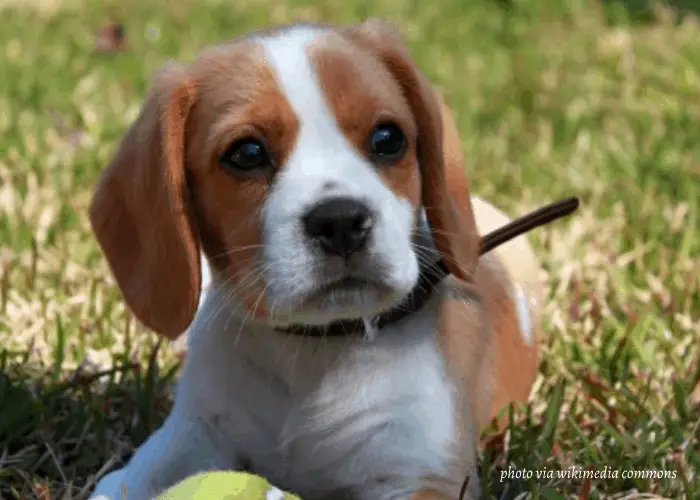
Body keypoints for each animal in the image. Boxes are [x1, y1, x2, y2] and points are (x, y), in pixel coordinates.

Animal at [89, 19, 540, 500]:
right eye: (246, 153)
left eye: (388, 139)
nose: (341, 221)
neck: (313, 350)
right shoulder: (192, 430)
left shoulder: (423, 473)